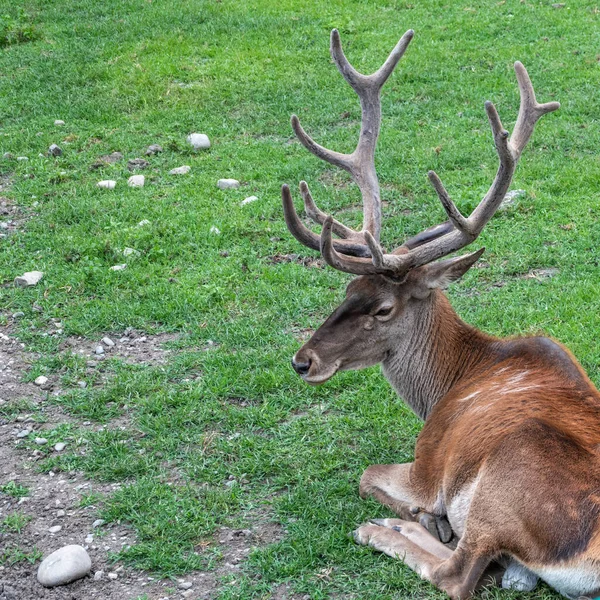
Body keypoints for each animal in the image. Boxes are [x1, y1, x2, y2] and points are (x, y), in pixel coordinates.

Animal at [282, 30, 600, 600]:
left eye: (384, 308)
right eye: (347, 288)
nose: (303, 360)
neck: (442, 387)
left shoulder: (429, 462)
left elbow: (367, 474)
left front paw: (417, 516)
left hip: (504, 480)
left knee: (459, 573)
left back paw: (388, 528)